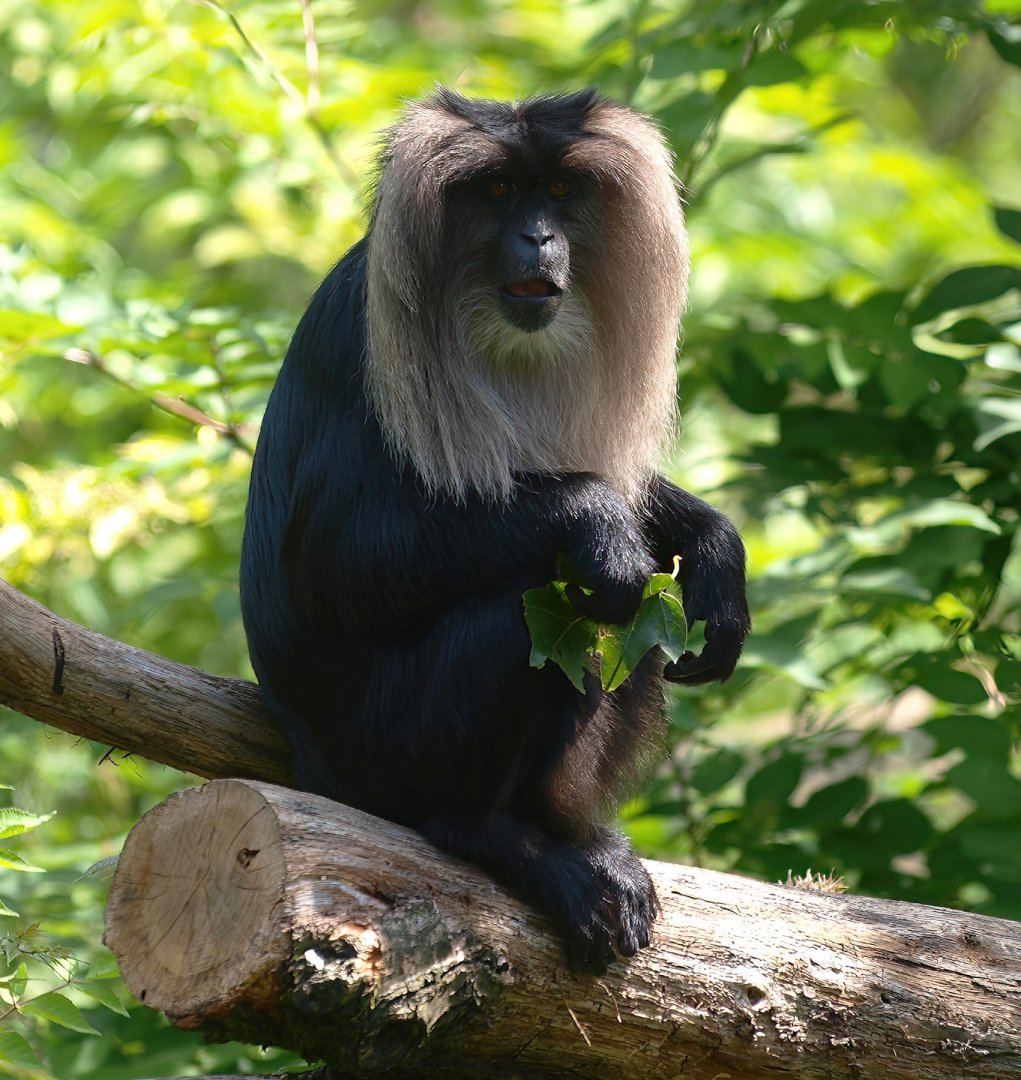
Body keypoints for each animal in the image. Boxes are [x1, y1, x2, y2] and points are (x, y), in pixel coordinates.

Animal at [240, 88, 750, 972]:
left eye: (560, 192)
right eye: (500, 193)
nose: (537, 239)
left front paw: (715, 548)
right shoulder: (360, 336)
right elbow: (337, 561)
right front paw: (597, 520)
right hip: (383, 754)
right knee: (531, 603)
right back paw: (488, 834)